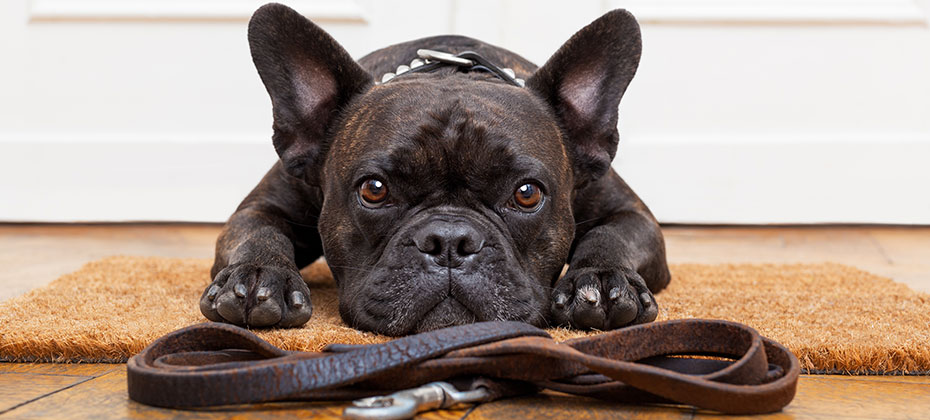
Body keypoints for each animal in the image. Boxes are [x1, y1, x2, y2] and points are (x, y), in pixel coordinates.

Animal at [199, 2, 672, 334]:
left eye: (527, 194)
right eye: (374, 189)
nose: (449, 241)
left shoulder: (632, 215)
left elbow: (611, 235)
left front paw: (604, 280)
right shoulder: (261, 208)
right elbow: (259, 232)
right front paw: (260, 276)